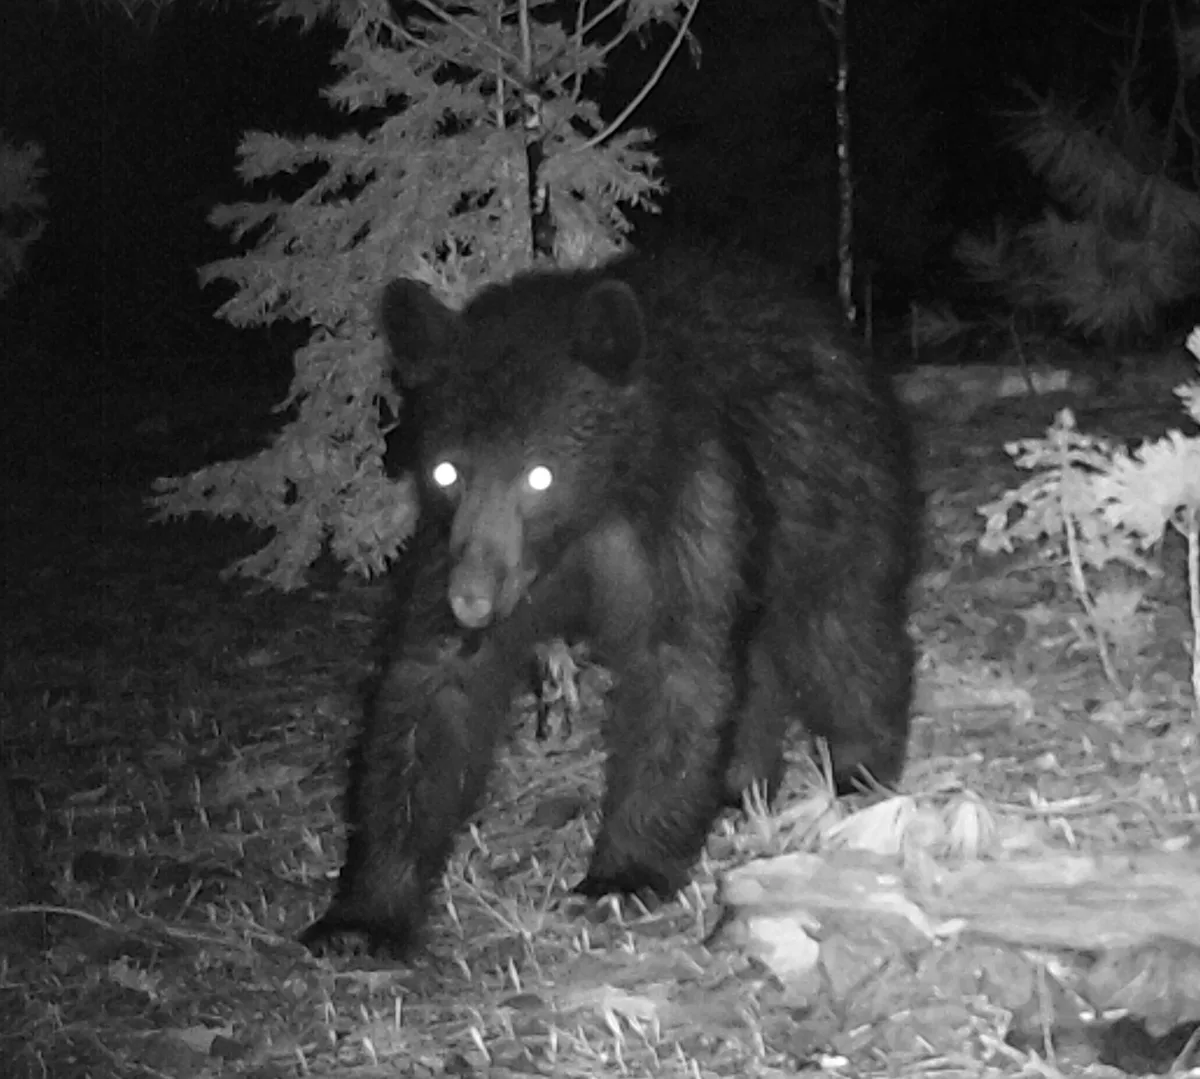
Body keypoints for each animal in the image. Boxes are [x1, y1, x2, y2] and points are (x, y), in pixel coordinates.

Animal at [300, 251, 921, 960]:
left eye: (540, 474)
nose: (473, 601)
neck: (586, 522)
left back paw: (860, 765)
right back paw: (743, 781)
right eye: (446, 471)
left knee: (840, 629)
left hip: (832, 491)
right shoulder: (446, 548)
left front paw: (621, 878)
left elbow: (679, 668)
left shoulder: (691, 509)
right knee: (761, 662)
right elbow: (432, 692)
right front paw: (362, 914)